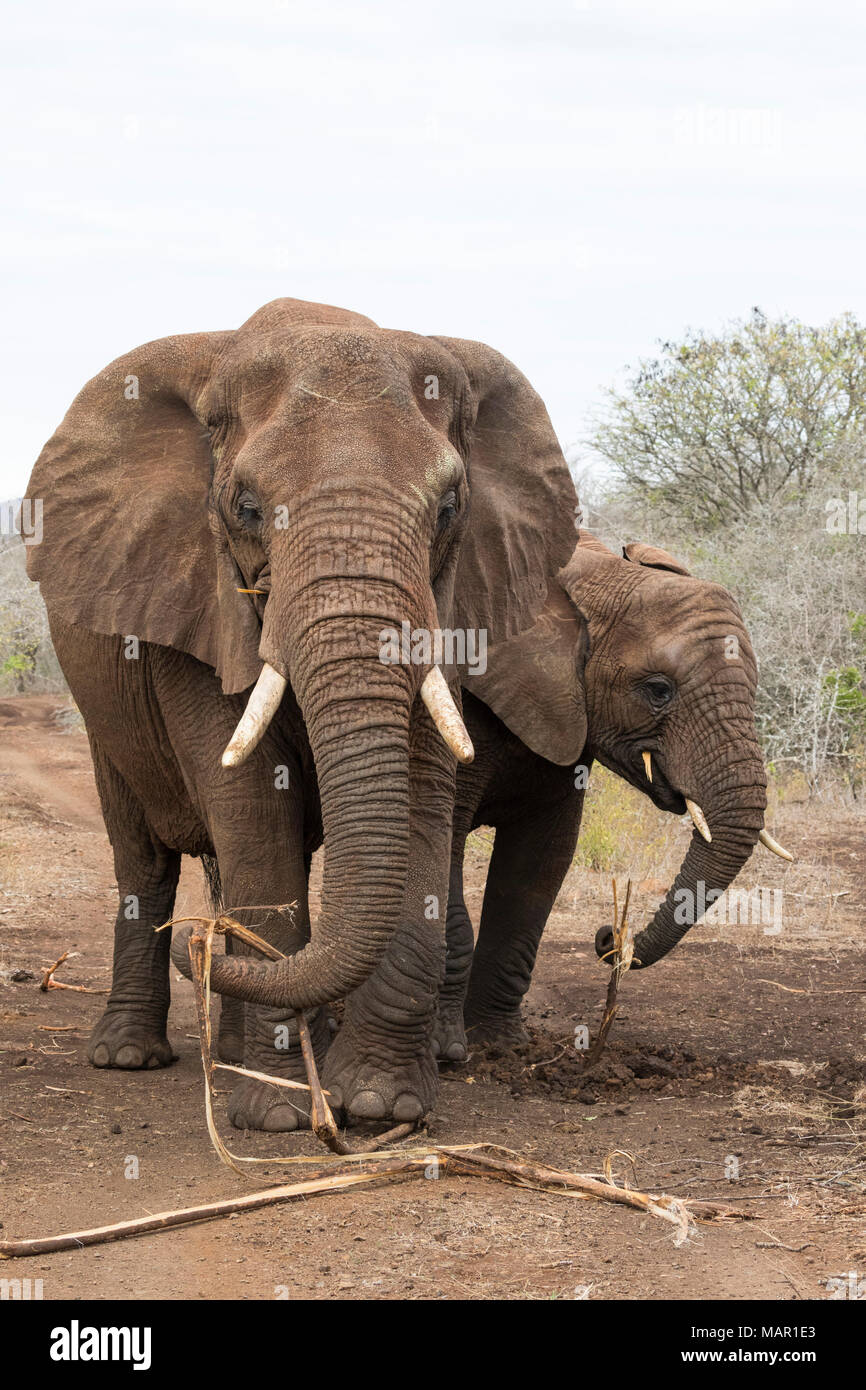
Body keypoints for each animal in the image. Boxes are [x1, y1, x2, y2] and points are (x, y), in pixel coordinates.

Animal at [27, 296, 578, 1128]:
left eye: (450, 507)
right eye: (248, 508)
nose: (197, 948)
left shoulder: (450, 602)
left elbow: (420, 795)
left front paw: (380, 1107)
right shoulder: (198, 598)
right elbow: (252, 807)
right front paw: (278, 1117)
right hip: (105, 716)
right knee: (144, 854)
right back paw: (132, 1055)